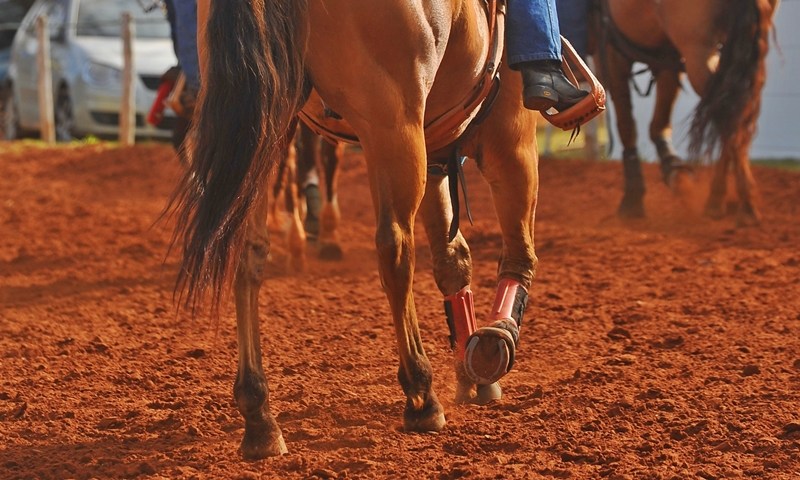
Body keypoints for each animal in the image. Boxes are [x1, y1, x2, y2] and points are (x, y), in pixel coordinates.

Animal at [170, 0, 552, 458]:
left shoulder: (436, 141)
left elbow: (451, 258)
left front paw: (469, 367)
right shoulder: (509, 135)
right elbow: (517, 248)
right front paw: (494, 343)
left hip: (265, 130)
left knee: (248, 252)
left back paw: (260, 418)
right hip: (393, 127)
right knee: (394, 246)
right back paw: (421, 397)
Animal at [593, 0, 779, 225]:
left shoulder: (612, 50)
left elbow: (627, 125)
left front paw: (632, 200)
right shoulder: (666, 55)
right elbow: (659, 124)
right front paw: (675, 173)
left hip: (699, 53)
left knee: (727, 114)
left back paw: (745, 205)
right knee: (733, 113)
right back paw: (718, 201)